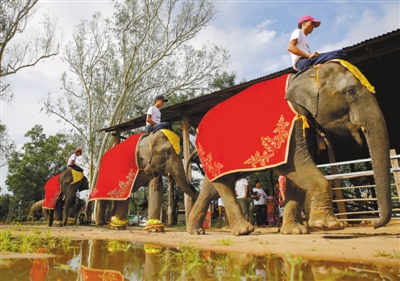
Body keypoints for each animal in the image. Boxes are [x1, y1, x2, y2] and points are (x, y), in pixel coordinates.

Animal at [188, 60, 390, 235]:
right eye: (351, 92)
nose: (373, 223)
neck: (306, 75)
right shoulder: (287, 127)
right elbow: (291, 165)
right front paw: (328, 225)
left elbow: (296, 176)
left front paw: (296, 231)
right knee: (223, 185)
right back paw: (243, 230)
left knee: (212, 187)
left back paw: (195, 230)